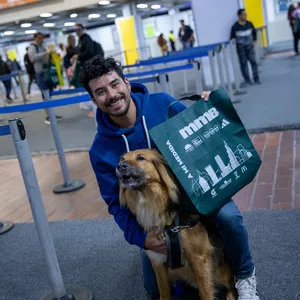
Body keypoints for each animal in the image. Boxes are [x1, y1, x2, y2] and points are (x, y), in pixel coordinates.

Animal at [116, 149, 238, 298]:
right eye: (122, 159)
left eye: (140, 158)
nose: (120, 166)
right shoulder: (157, 260)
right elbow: (163, 290)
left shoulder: (200, 258)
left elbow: (205, 292)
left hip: (221, 272)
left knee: (232, 285)